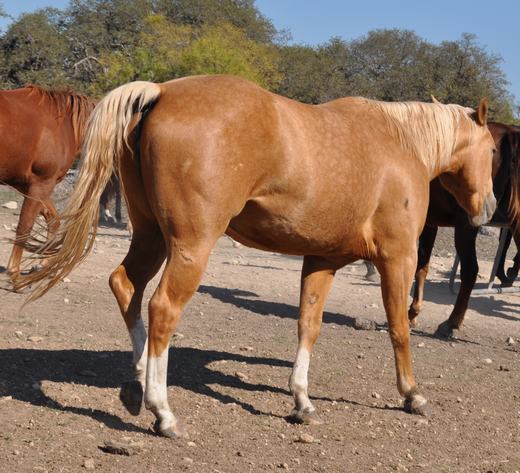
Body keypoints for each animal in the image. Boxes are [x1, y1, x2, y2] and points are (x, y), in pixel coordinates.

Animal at [0, 84, 96, 284]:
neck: (65, 125)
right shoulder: (41, 183)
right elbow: (25, 226)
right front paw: (15, 273)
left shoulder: (32, 186)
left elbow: (53, 220)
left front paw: (43, 264)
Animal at [19, 74, 496, 438]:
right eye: (493, 150)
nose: (487, 210)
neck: (400, 144)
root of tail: (161, 92)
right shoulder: (397, 258)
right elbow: (399, 328)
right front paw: (412, 394)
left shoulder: (321, 260)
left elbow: (308, 325)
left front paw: (302, 400)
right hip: (191, 247)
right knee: (162, 309)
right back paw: (163, 411)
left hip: (151, 236)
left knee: (126, 287)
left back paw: (136, 386)